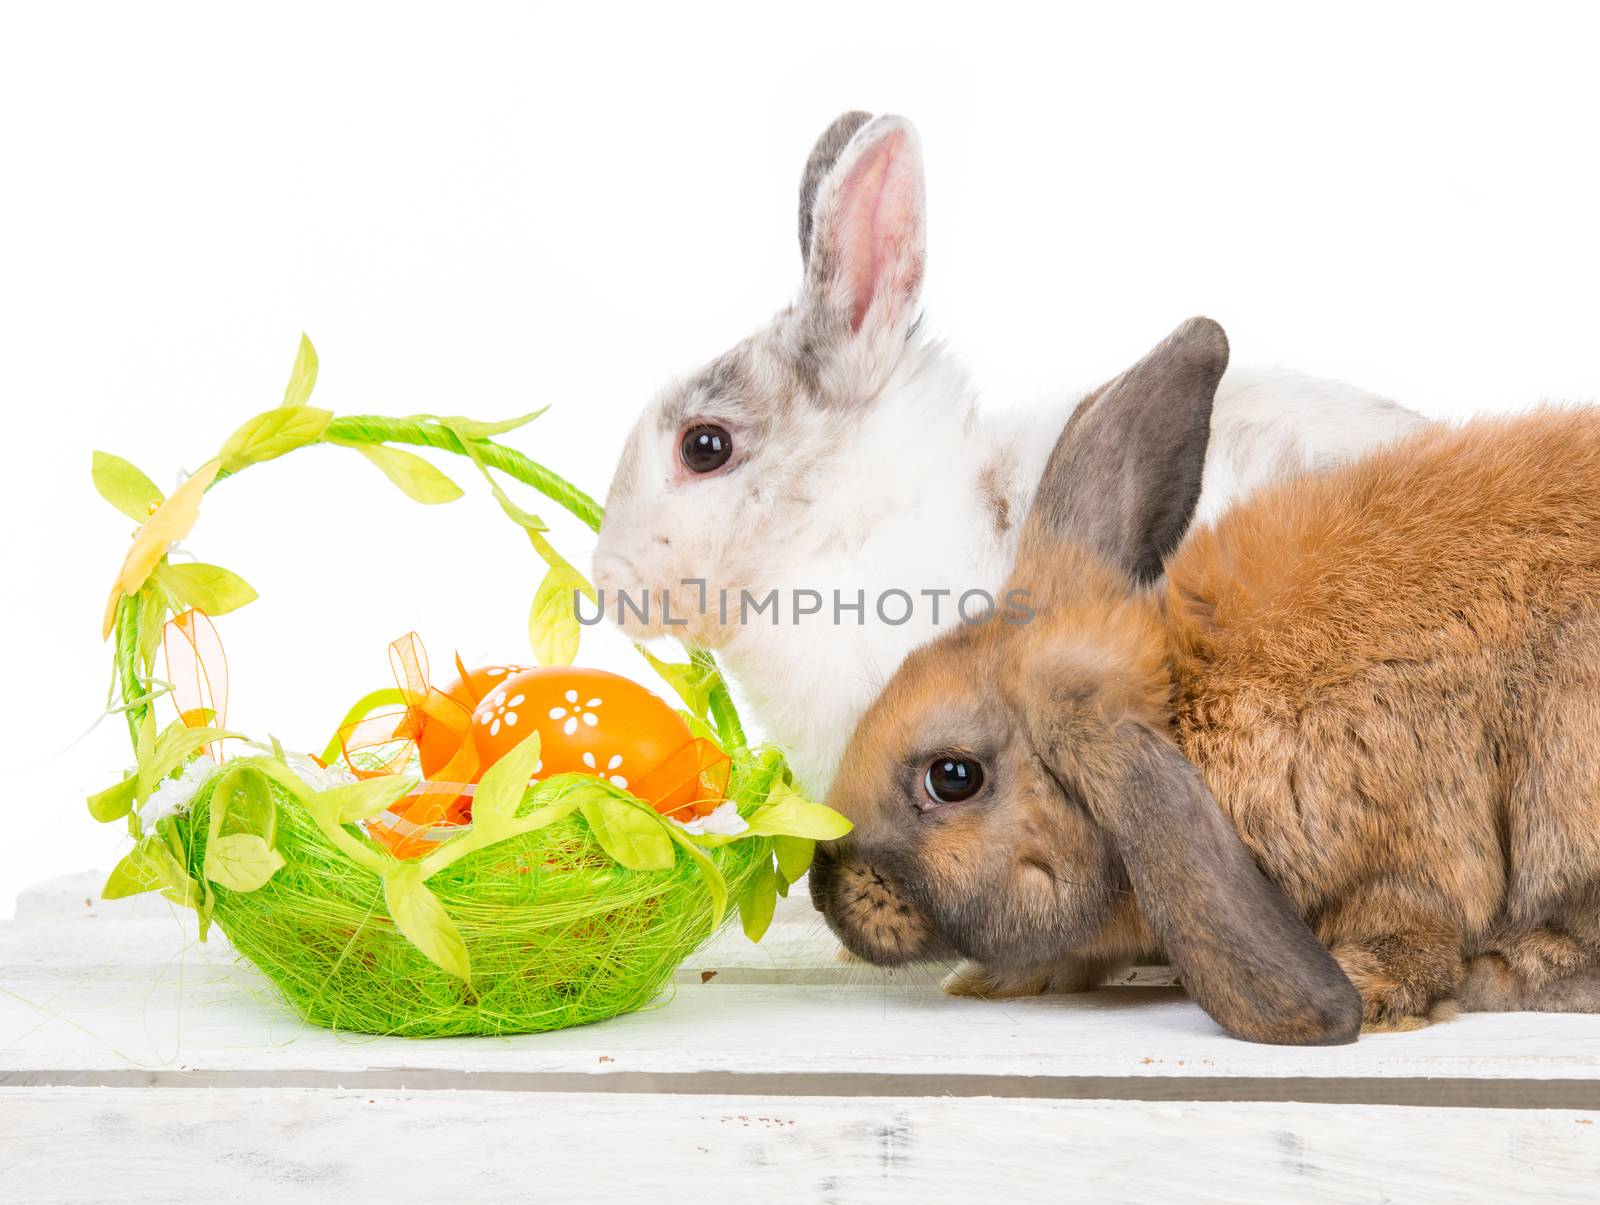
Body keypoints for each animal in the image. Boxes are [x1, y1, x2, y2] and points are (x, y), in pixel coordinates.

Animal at [812, 320, 1600, 1043]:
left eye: (952, 777)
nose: (823, 888)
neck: (1188, 706)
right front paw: (990, 979)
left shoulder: (1413, 850)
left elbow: (1409, 928)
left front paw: (1370, 994)